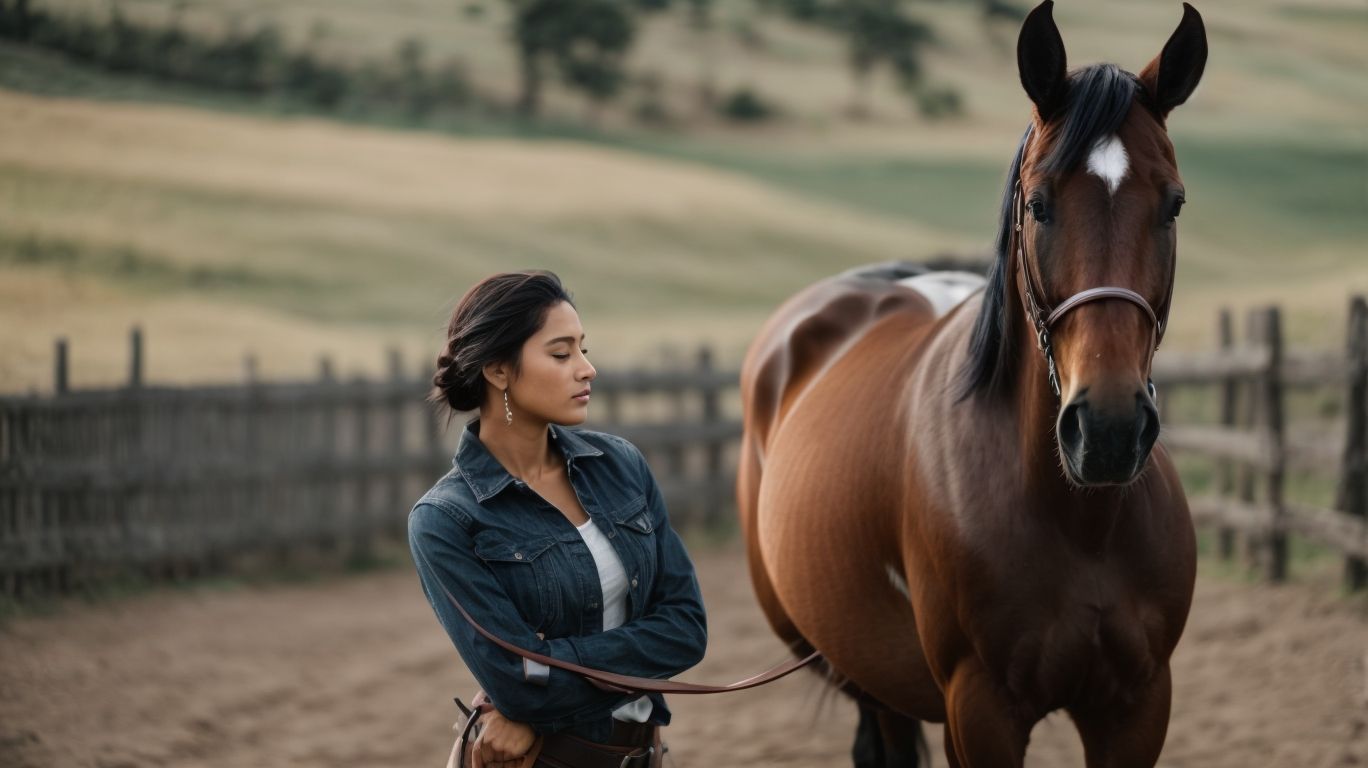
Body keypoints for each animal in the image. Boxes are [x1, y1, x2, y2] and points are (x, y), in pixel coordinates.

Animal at [737, 3, 1208, 766]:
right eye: (1038, 205)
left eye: (1172, 204)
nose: (1108, 431)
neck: (1078, 520)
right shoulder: (979, 709)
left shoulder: (1137, 707)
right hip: (858, 665)